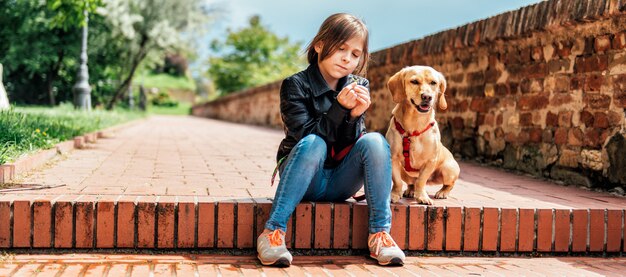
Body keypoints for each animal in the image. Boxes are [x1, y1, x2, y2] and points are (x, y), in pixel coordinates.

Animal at [382, 66, 460, 204]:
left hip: (448, 170)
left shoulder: (430, 161)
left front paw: (422, 196)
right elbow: (397, 181)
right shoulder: (394, 158)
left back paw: (442, 192)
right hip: (404, 172)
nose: (427, 97)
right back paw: (410, 191)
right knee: (411, 183)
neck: (415, 124)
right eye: (414, 81)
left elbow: (421, 181)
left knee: (449, 184)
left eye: (433, 83)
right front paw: (394, 194)